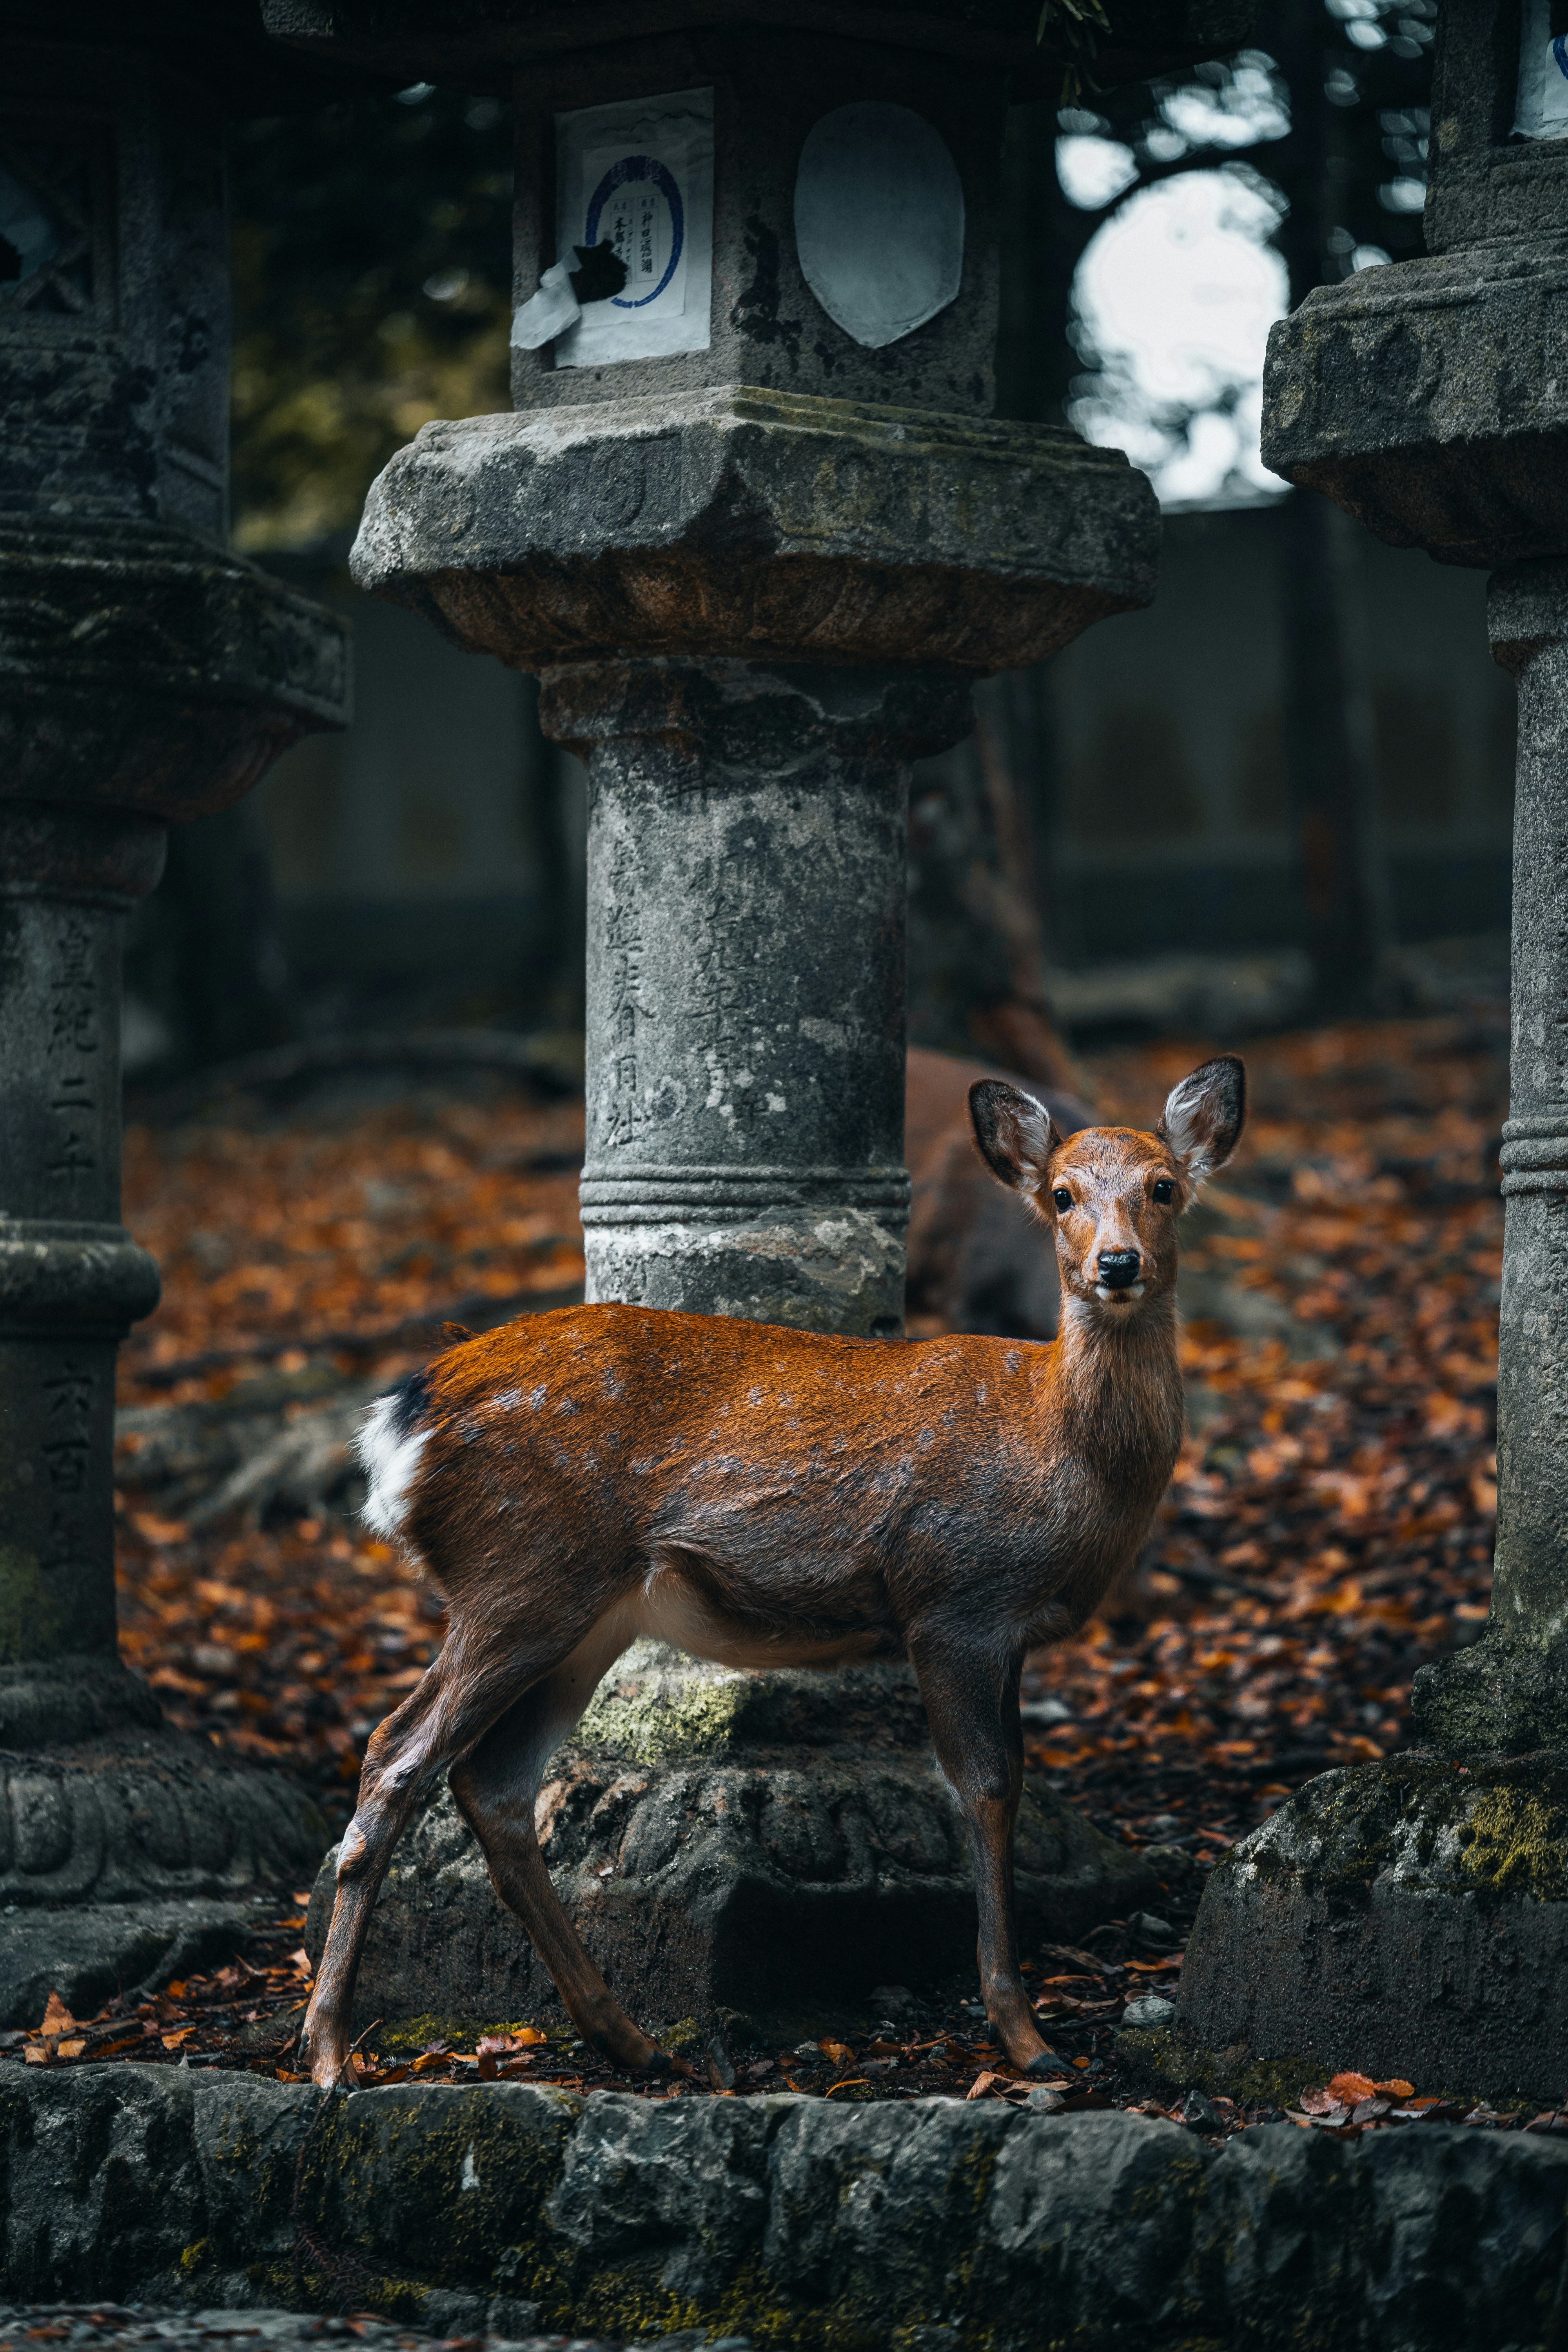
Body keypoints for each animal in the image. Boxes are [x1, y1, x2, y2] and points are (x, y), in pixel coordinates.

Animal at [301, 1053, 1246, 2090]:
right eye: (1062, 1194)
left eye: (1163, 1186)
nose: (1117, 1264)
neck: (1056, 1452)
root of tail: (404, 1422)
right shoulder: (951, 1602)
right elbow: (986, 1791)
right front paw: (1025, 2036)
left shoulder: (1009, 1634)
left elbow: (1010, 1782)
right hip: (518, 1573)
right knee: (397, 1755)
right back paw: (331, 2053)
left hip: (583, 1611)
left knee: (494, 1785)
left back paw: (629, 2038)